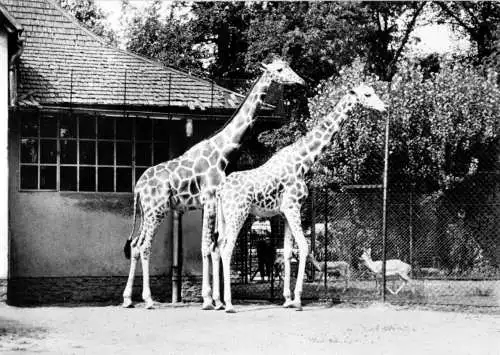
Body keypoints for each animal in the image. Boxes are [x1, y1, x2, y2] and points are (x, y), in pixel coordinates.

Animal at [121, 57, 304, 308]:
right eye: (279, 69)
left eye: (288, 66)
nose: (301, 81)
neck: (222, 151)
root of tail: (138, 187)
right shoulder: (209, 201)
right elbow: (207, 247)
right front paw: (209, 299)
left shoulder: (210, 204)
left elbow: (214, 246)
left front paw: (217, 299)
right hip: (156, 210)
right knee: (144, 245)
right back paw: (148, 299)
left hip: (146, 212)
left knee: (135, 245)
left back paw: (128, 299)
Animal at [214, 83, 386, 312]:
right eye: (368, 94)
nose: (385, 107)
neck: (303, 161)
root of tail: (221, 190)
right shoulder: (293, 207)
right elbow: (304, 247)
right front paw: (297, 300)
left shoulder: (285, 212)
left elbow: (288, 252)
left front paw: (286, 299)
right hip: (238, 213)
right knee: (226, 249)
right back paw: (229, 304)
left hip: (226, 216)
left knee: (216, 248)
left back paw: (216, 302)